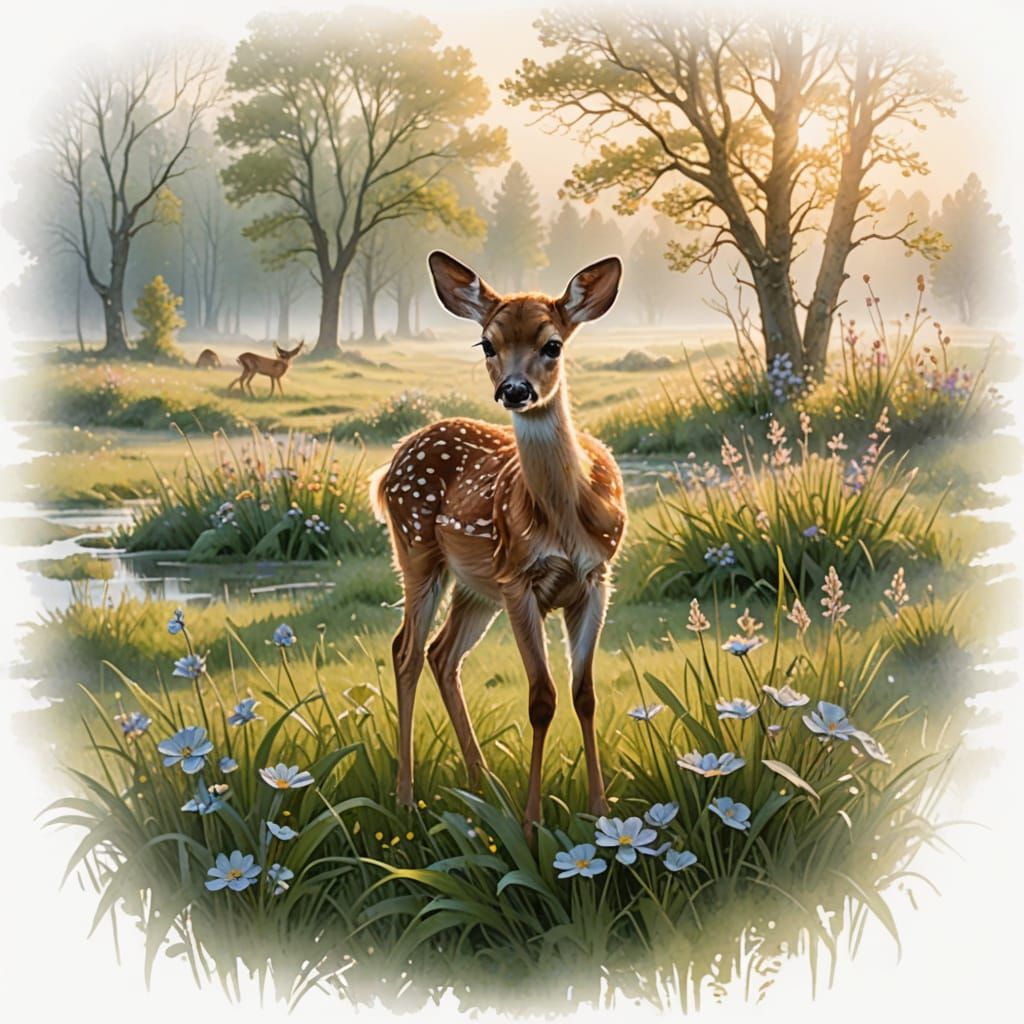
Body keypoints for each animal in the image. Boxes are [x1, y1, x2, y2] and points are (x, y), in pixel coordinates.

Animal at [369, 250, 626, 837]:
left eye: (553, 344)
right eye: (487, 343)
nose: (514, 390)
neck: (563, 520)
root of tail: (391, 462)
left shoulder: (596, 578)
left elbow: (584, 694)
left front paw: (601, 814)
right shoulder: (518, 579)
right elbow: (541, 698)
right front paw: (532, 826)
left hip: (474, 586)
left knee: (442, 655)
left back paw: (482, 784)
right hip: (417, 551)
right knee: (406, 652)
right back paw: (406, 798)